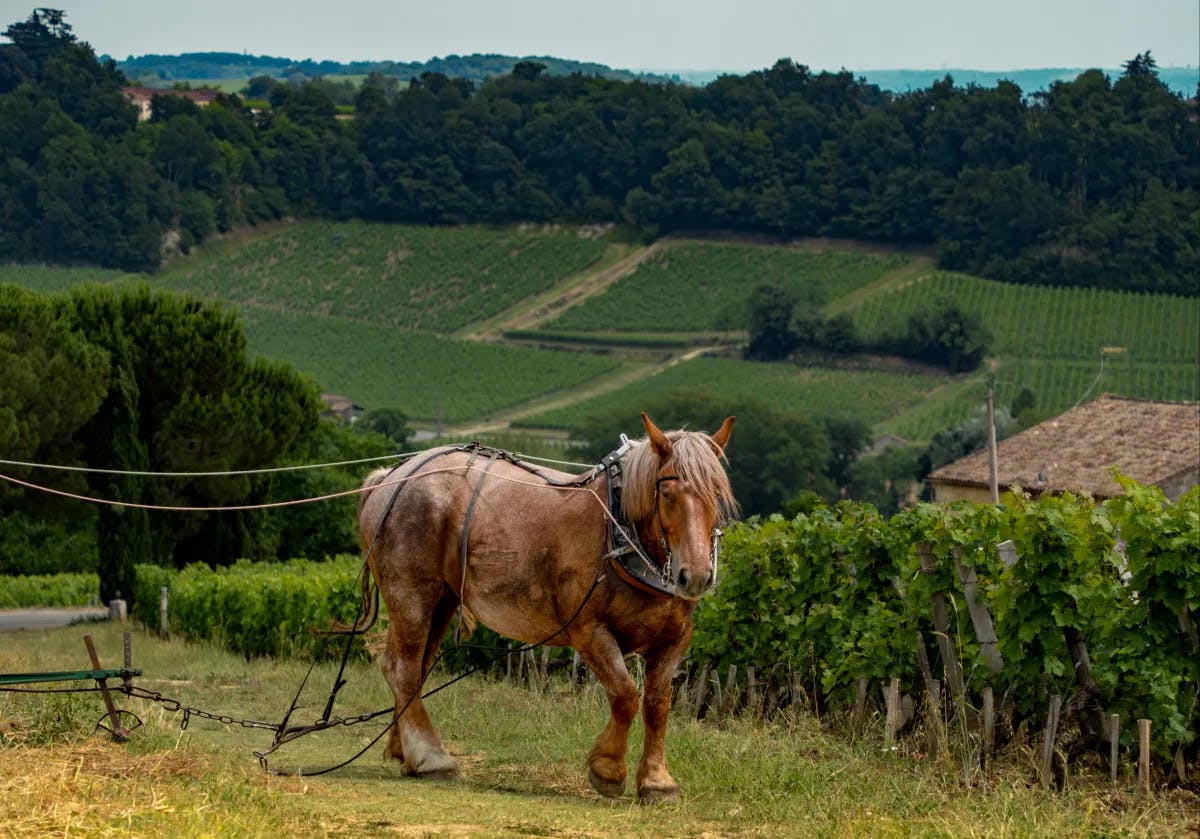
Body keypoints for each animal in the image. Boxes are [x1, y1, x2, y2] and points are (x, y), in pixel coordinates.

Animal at [350, 412, 734, 801]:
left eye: (716, 496)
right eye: (667, 495)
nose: (696, 576)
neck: (619, 534)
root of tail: (393, 475)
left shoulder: (674, 640)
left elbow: (657, 704)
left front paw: (657, 780)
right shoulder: (589, 630)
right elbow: (625, 695)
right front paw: (608, 770)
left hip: (442, 599)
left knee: (417, 667)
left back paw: (403, 749)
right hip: (411, 593)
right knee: (402, 668)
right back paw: (431, 757)